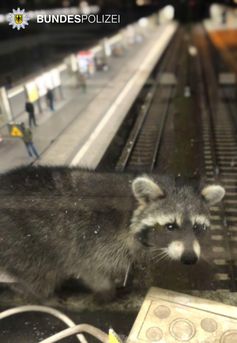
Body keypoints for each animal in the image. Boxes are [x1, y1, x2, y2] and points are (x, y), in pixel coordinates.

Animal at [0, 167, 225, 300]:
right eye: (171, 226)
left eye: (197, 227)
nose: (190, 258)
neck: (133, 205)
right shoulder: (94, 240)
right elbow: (91, 269)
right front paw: (105, 292)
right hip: (23, 244)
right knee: (41, 278)